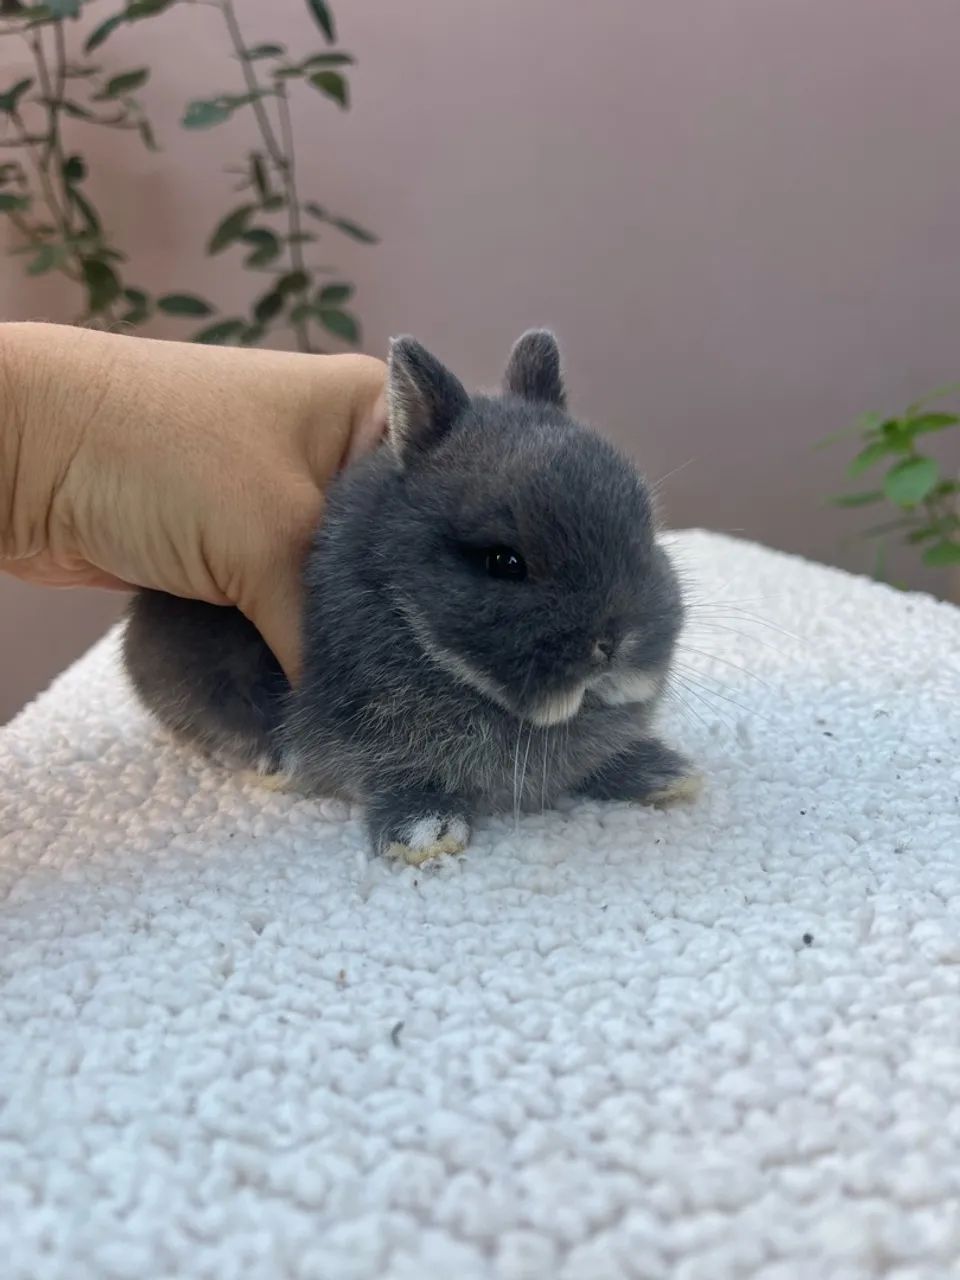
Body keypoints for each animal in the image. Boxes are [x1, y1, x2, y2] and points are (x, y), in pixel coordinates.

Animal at [123, 330, 698, 863]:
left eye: (644, 528)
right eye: (504, 562)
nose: (616, 641)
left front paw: (664, 773)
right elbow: (398, 776)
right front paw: (424, 833)